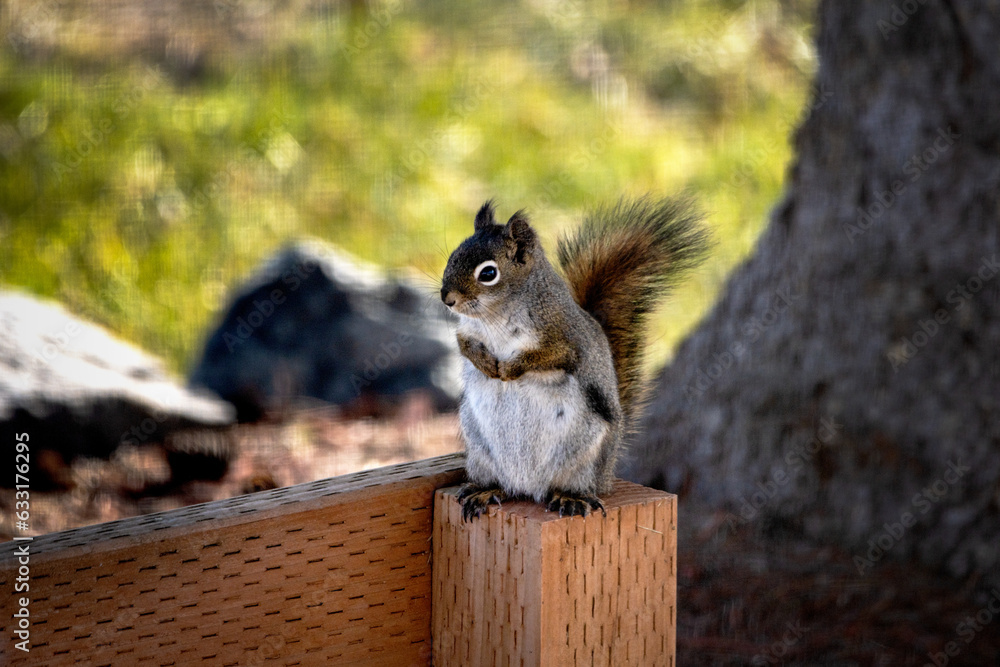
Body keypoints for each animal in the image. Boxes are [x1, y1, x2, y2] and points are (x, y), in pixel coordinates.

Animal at [440, 197, 709, 521]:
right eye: (453, 256)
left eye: (488, 273)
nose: (447, 298)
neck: (496, 315)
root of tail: (528, 487)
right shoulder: (467, 330)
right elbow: (464, 344)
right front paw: (485, 363)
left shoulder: (565, 338)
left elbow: (549, 356)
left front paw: (509, 368)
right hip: (481, 453)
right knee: (500, 483)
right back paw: (485, 490)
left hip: (583, 457)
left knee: (572, 484)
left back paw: (570, 497)